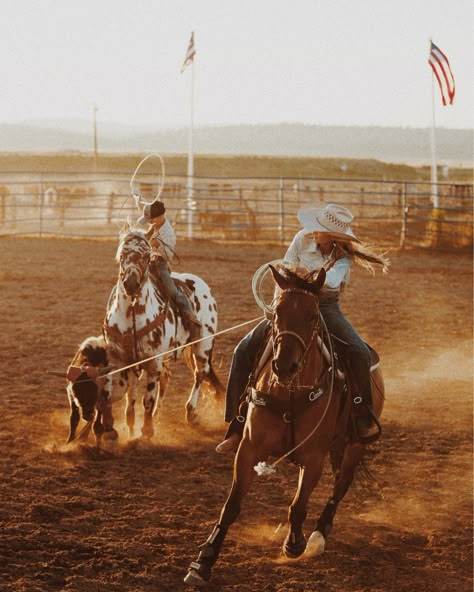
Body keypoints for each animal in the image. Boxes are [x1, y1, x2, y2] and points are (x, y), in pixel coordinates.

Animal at [99, 228, 224, 444]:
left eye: (146, 255)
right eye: (122, 255)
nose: (130, 284)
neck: (131, 314)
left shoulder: (153, 361)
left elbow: (146, 399)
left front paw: (146, 431)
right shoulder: (125, 361)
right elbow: (130, 398)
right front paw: (129, 430)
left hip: (203, 345)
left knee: (200, 373)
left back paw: (190, 413)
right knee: (167, 378)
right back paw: (159, 415)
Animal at [183, 264, 384, 588]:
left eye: (313, 315)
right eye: (276, 313)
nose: (284, 366)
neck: (289, 393)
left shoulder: (313, 457)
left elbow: (298, 505)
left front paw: (294, 543)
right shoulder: (249, 449)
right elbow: (232, 506)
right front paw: (203, 561)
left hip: (354, 446)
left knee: (340, 486)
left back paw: (318, 536)